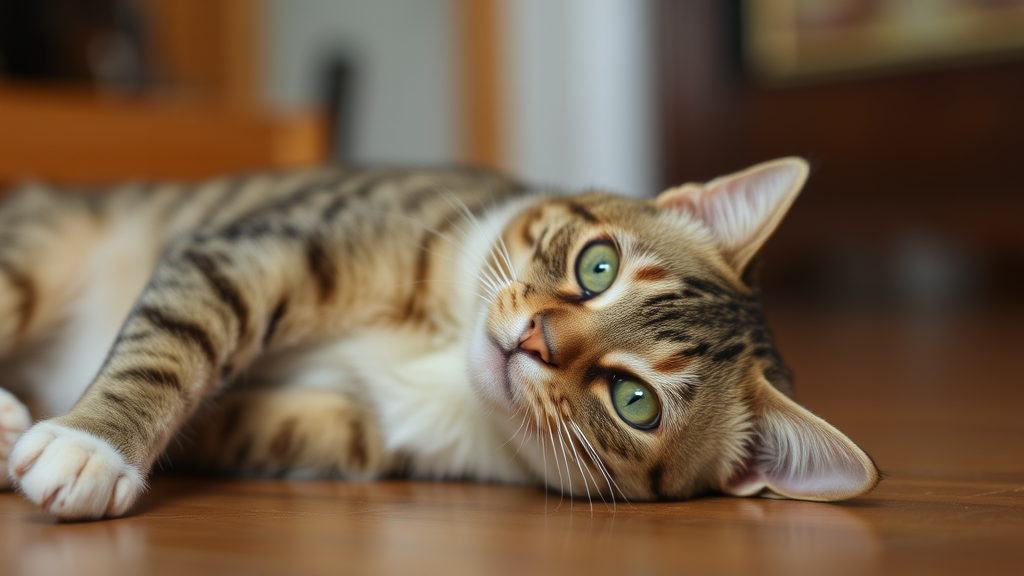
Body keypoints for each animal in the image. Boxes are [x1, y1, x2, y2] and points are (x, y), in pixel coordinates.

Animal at [0, 156, 880, 520]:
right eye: (597, 266)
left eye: (635, 401)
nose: (533, 339)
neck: (444, 354)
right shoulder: (263, 248)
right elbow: (174, 341)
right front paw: (91, 447)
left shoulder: (349, 432)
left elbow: (236, 422)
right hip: (36, 251)